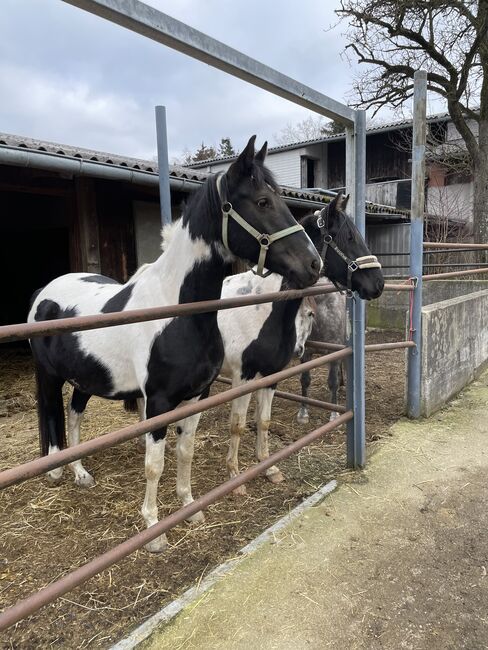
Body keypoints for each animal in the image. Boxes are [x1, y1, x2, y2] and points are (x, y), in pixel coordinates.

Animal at [28, 138, 322, 552]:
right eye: (263, 201)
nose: (314, 264)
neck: (178, 313)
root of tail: (45, 292)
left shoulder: (197, 395)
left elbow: (185, 452)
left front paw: (190, 508)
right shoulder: (159, 402)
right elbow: (155, 465)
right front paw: (154, 530)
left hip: (88, 377)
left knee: (74, 415)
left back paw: (81, 473)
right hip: (51, 377)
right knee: (54, 415)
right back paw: (59, 472)